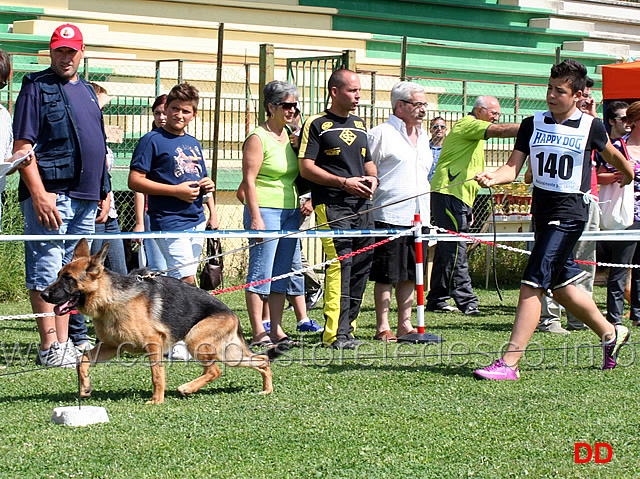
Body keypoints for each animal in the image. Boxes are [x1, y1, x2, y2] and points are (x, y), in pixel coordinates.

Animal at [40, 240, 280, 404]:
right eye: (58, 275)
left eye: (68, 279)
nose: (43, 295)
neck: (109, 298)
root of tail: (232, 314)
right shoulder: (111, 346)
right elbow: (82, 361)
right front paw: (85, 389)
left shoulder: (153, 344)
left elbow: (157, 375)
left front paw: (157, 400)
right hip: (229, 354)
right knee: (261, 361)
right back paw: (267, 389)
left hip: (197, 341)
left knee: (215, 371)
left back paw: (187, 388)